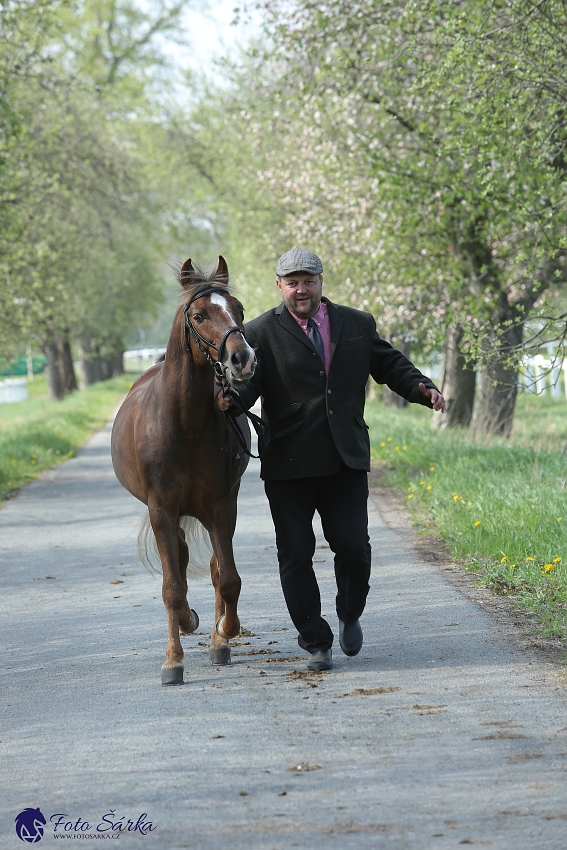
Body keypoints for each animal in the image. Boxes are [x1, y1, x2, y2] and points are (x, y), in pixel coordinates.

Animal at [111, 256, 258, 684]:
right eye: (199, 314)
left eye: (239, 309)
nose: (242, 359)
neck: (184, 423)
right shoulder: (161, 509)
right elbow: (172, 587)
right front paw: (173, 658)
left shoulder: (221, 507)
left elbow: (227, 578)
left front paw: (224, 632)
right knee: (176, 563)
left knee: (213, 568)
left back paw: (217, 638)